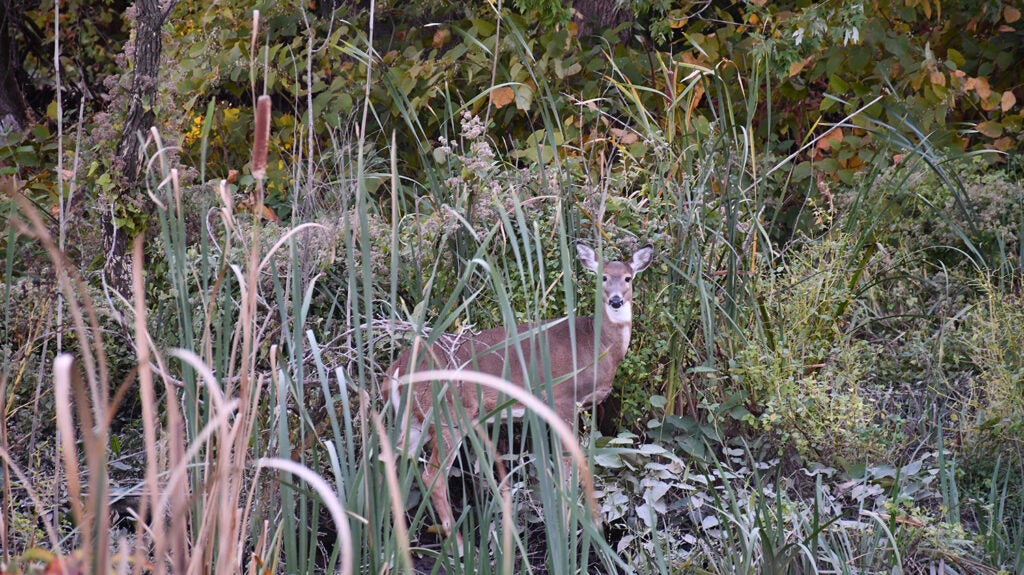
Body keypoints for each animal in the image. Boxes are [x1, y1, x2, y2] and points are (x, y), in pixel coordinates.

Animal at [385, 239, 655, 548]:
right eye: (603, 277)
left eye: (628, 278)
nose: (616, 301)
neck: (596, 346)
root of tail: (396, 370)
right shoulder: (563, 399)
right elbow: (567, 464)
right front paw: (570, 527)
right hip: (447, 414)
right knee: (432, 476)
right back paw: (461, 545)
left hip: (414, 420)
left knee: (389, 462)